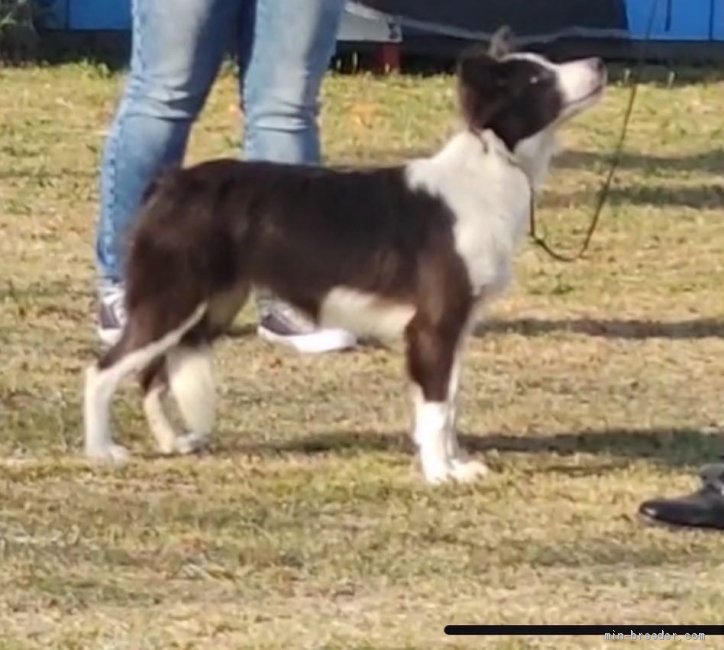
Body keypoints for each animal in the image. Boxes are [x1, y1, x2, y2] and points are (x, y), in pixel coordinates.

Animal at [83, 31, 604, 486]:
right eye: (536, 79)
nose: (599, 63)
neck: (492, 165)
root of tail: (170, 183)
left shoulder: (457, 326)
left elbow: (449, 403)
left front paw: (455, 465)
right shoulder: (433, 325)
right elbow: (437, 409)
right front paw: (438, 474)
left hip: (209, 307)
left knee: (151, 373)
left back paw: (170, 441)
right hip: (173, 299)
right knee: (102, 371)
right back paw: (102, 451)